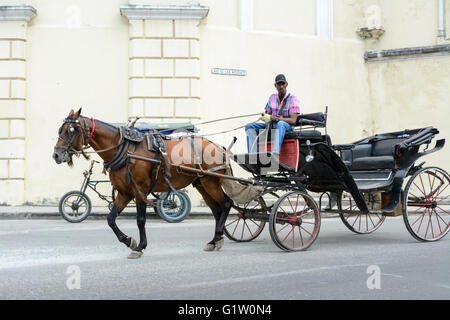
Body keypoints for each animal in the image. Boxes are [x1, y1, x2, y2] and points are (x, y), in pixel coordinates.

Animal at [54, 109, 234, 258]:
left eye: (71, 130)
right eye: (60, 129)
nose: (56, 155)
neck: (126, 150)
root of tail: (218, 146)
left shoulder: (139, 190)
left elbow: (140, 219)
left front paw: (140, 246)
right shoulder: (125, 192)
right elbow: (111, 219)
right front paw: (128, 241)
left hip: (211, 182)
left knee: (226, 204)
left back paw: (218, 234)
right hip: (201, 183)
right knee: (217, 210)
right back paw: (214, 240)